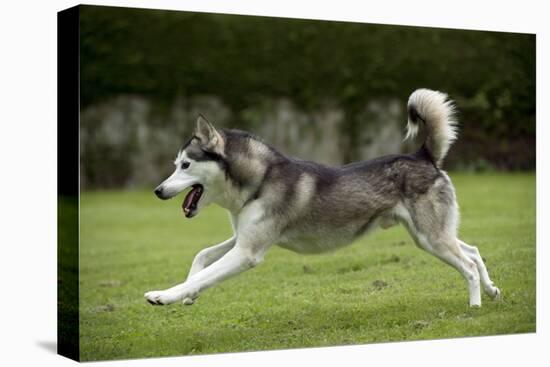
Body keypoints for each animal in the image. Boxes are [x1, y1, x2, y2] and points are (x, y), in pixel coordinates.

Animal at [144, 88, 502, 308]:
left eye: (185, 165)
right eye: (176, 164)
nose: (157, 191)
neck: (260, 180)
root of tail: (423, 155)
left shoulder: (248, 253)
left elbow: (204, 273)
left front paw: (164, 295)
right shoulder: (243, 239)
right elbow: (201, 257)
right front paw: (189, 295)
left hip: (431, 238)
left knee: (468, 265)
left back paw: (474, 305)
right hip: (429, 235)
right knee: (473, 251)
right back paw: (491, 290)